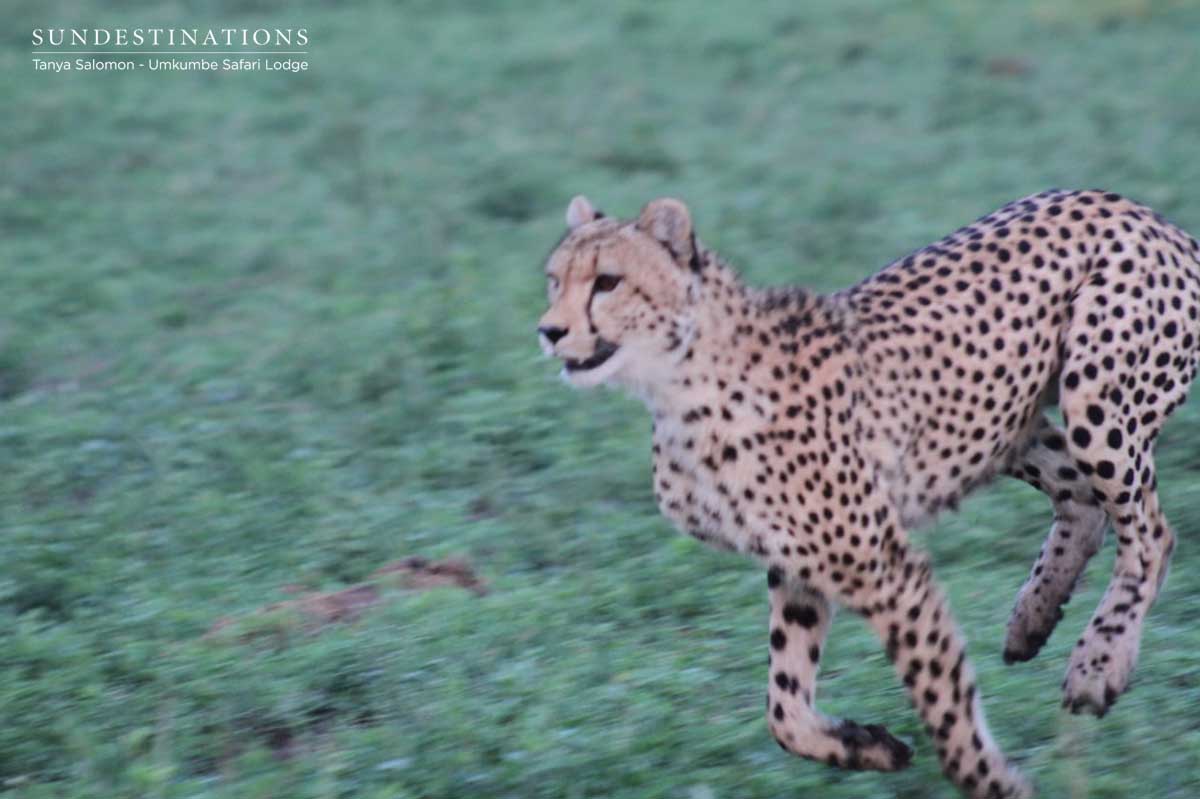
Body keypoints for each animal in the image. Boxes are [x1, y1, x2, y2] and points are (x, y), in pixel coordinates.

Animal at [537, 189, 1200, 798]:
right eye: (554, 281)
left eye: (608, 282)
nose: (549, 331)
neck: (678, 386)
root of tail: (1144, 212)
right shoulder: (797, 567)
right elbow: (783, 708)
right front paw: (871, 746)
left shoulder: (884, 568)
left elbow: (940, 693)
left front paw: (994, 783)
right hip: (1001, 423)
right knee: (1086, 503)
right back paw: (1033, 619)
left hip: (1094, 397)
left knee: (1153, 533)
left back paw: (1097, 666)